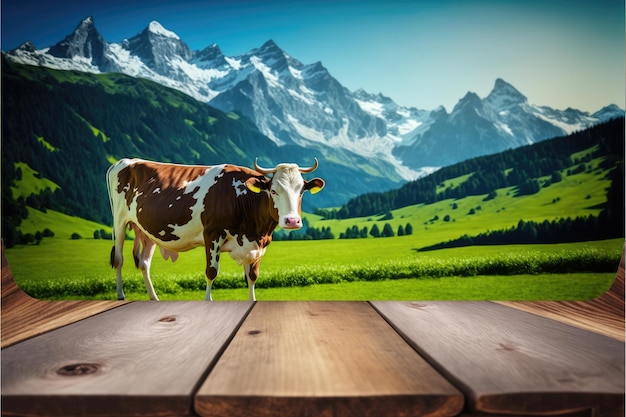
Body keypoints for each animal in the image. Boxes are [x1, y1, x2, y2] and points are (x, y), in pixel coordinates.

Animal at [105, 158, 324, 300]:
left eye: (301, 191)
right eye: (273, 191)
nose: (292, 221)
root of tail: (123, 161)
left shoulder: (257, 244)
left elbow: (252, 277)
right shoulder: (212, 233)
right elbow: (211, 272)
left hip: (147, 230)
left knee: (144, 264)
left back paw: (154, 298)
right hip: (119, 221)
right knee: (118, 259)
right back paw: (120, 296)